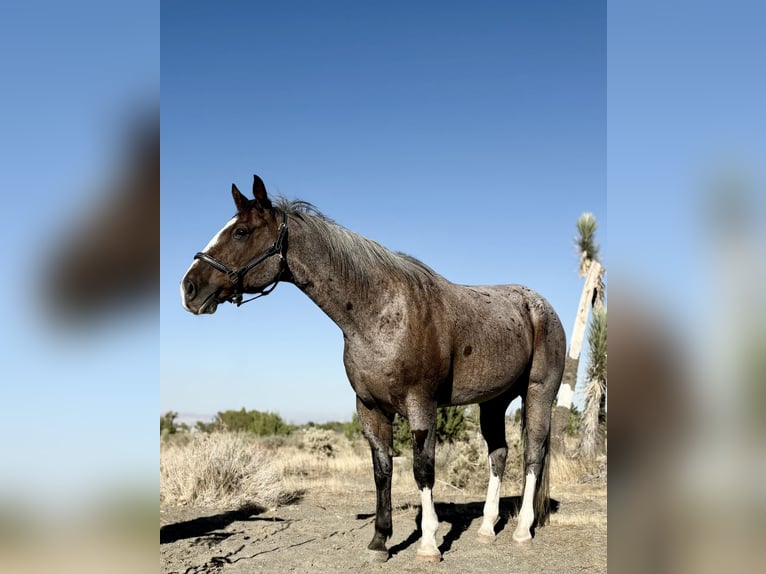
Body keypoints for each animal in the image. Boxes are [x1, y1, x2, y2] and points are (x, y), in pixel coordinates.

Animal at [181, 175, 566, 562]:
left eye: (241, 232)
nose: (189, 288)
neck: (382, 311)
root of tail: (540, 306)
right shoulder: (369, 407)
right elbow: (383, 470)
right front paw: (380, 541)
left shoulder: (421, 406)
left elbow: (422, 470)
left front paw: (428, 543)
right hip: (493, 402)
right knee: (498, 455)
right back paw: (487, 528)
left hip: (537, 395)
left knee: (533, 455)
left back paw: (522, 531)